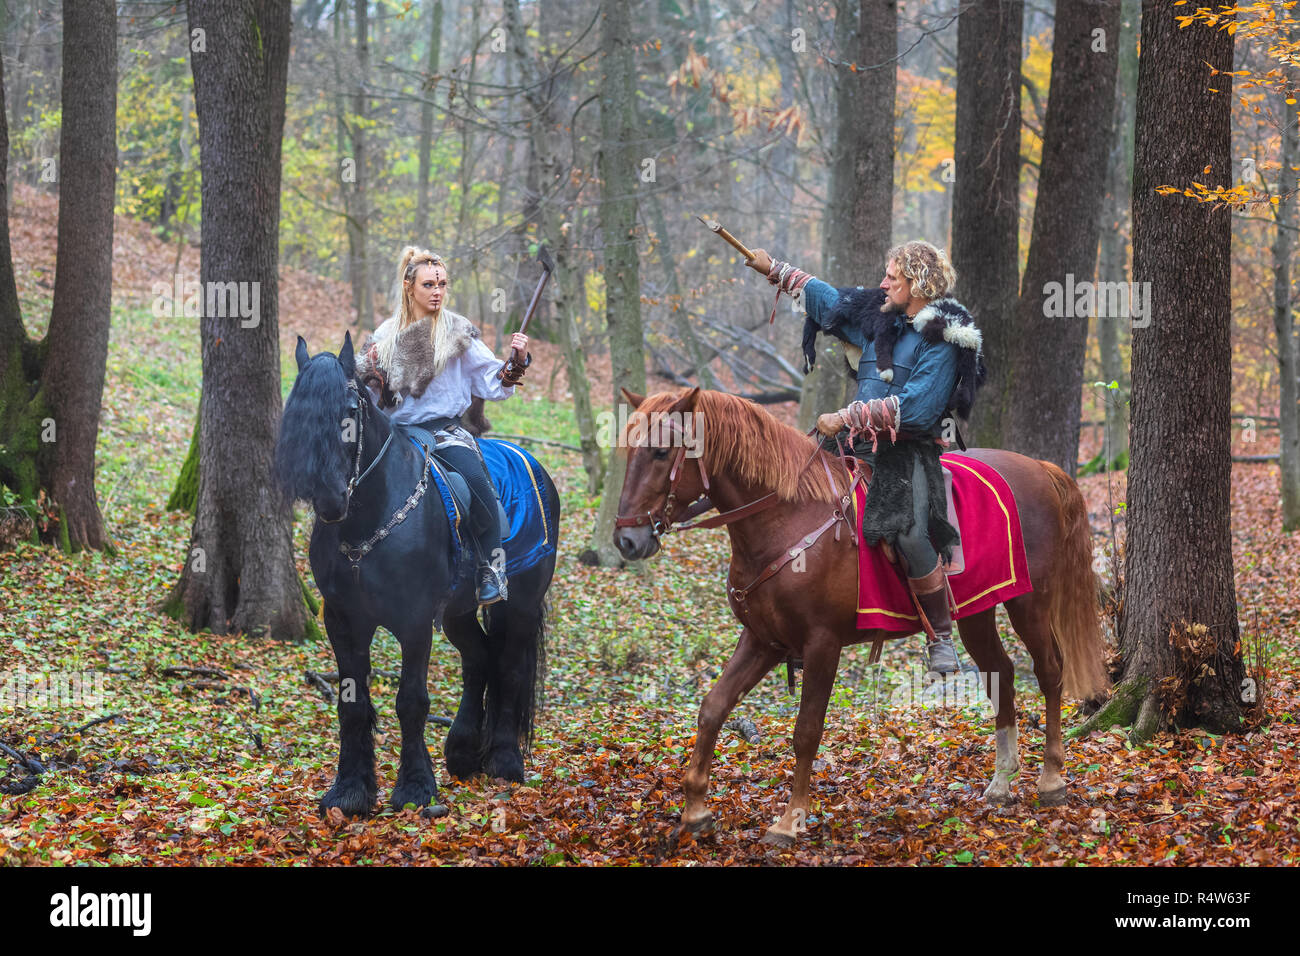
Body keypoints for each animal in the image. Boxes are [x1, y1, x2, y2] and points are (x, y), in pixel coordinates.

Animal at [274, 330, 559, 816]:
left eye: (351, 411)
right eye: (298, 411)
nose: (330, 499)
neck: (369, 518)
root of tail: (531, 462)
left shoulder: (414, 621)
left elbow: (411, 701)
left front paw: (414, 788)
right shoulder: (343, 621)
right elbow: (352, 703)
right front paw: (350, 791)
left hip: (522, 601)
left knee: (509, 666)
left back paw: (504, 761)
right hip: (458, 612)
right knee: (479, 658)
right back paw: (462, 753)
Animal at [611, 390, 1107, 842]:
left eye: (660, 452)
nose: (627, 541)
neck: (786, 520)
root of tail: (1039, 468)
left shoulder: (821, 644)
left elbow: (806, 731)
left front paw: (790, 821)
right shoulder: (762, 640)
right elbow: (713, 708)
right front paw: (695, 812)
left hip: (1030, 601)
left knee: (1049, 671)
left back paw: (1051, 779)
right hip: (977, 611)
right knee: (1000, 672)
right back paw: (1002, 783)